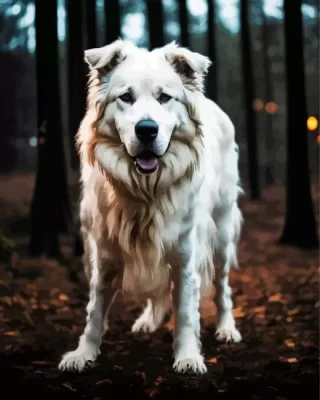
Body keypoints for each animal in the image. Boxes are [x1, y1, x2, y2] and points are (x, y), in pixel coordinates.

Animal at [58, 39, 242, 374]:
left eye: (165, 97)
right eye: (126, 97)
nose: (146, 129)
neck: (146, 191)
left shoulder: (185, 255)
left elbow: (185, 312)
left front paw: (187, 356)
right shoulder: (105, 256)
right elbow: (95, 310)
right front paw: (83, 353)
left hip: (222, 234)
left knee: (223, 287)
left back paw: (226, 328)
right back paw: (148, 321)